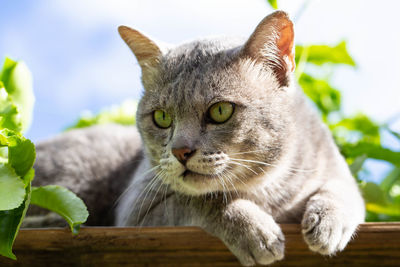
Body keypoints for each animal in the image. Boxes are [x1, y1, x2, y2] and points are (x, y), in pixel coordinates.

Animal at [28, 11, 366, 266]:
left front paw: (328, 223)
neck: (267, 191)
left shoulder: (333, 167)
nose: (181, 151)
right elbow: (201, 200)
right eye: (162, 117)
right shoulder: (136, 212)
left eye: (220, 110)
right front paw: (256, 232)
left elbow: (344, 192)